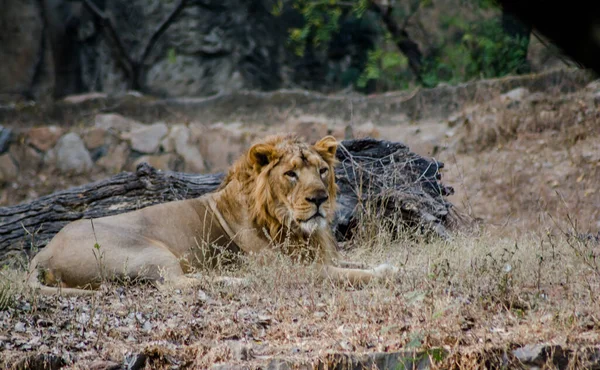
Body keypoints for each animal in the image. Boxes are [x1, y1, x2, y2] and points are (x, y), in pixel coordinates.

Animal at [28, 133, 400, 294]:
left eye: (322, 171)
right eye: (291, 174)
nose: (319, 198)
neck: (290, 227)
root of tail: (43, 253)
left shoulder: (317, 257)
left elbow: (353, 263)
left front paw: (386, 265)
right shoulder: (294, 270)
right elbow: (349, 274)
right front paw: (387, 273)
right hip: (149, 253)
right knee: (175, 284)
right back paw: (241, 280)